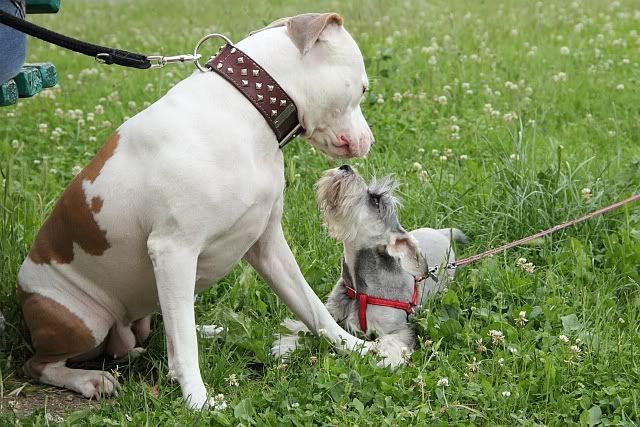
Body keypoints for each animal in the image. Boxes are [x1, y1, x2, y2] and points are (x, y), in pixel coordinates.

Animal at [16, 13, 375, 409]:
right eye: (362, 90)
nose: (369, 141)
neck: (245, 108)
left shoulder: (267, 245)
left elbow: (312, 307)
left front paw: (355, 348)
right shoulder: (174, 250)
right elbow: (185, 348)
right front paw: (198, 401)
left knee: (164, 329)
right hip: (84, 319)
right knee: (42, 364)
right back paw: (89, 379)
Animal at [272, 165, 466, 367]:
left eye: (375, 199)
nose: (345, 167)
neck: (360, 292)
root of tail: (442, 233)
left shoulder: (399, 329)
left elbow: (391, 342)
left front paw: (387, 359)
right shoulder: (331, 313)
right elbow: (311, 325)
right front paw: (288, 345)